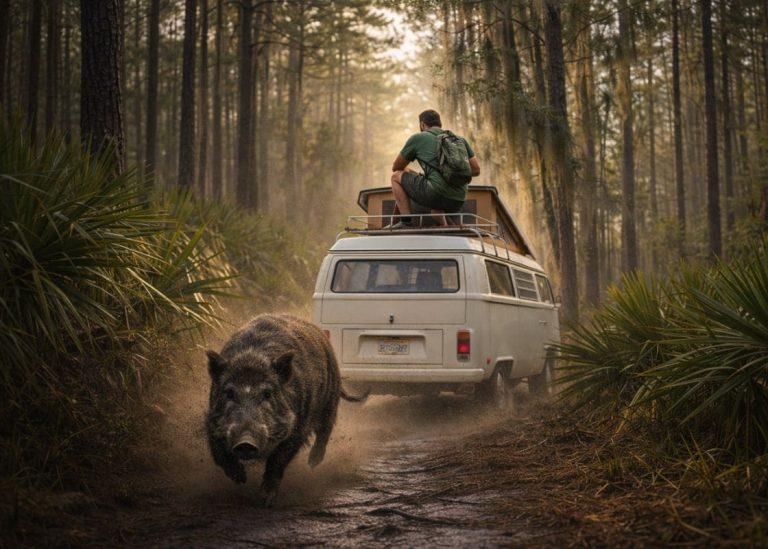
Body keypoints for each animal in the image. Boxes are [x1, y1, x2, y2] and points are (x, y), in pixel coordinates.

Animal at [205, 314, 366, 506]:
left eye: (267, 393)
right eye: (229, 393)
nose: (245, 442)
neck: (252, 359)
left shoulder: (299, 426)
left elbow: (278, 460)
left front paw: (264, 501)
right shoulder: (211, 419)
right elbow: (218, 452)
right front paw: (241, 479)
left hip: (331, 396)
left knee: (325, 429)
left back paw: (313, 463)